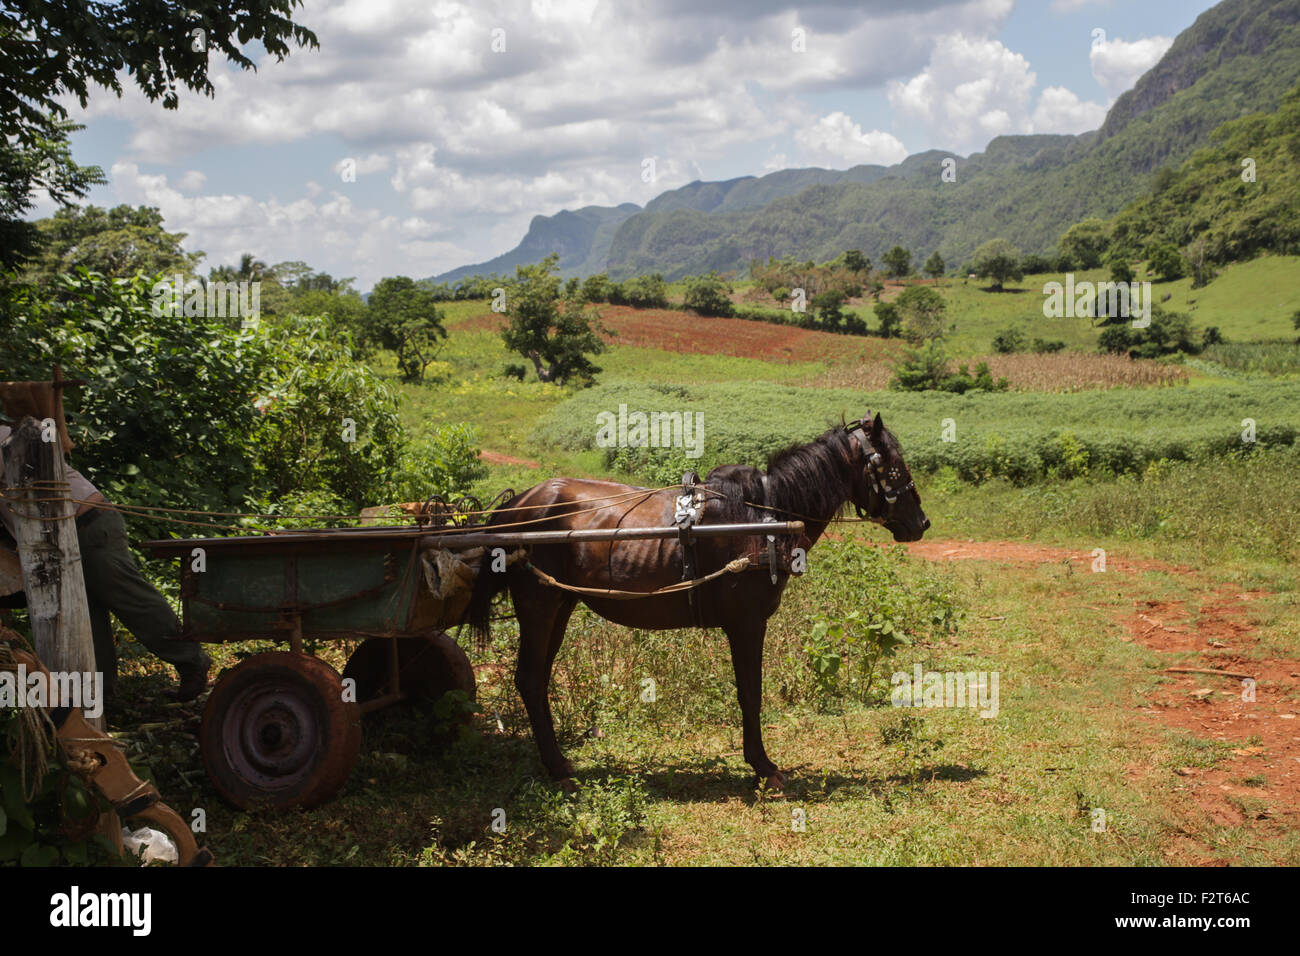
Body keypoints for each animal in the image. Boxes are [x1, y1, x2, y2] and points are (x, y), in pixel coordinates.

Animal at [465, 411, 929, 790]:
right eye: (894, 465)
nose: (921, 523)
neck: (766, 515)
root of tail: (516, 504)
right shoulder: (747, 622)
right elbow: (750, 693)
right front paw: (762, 766)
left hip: (560, 604)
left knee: (538, 679)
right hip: (538, 605)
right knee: (528, 678)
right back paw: (556, 767)